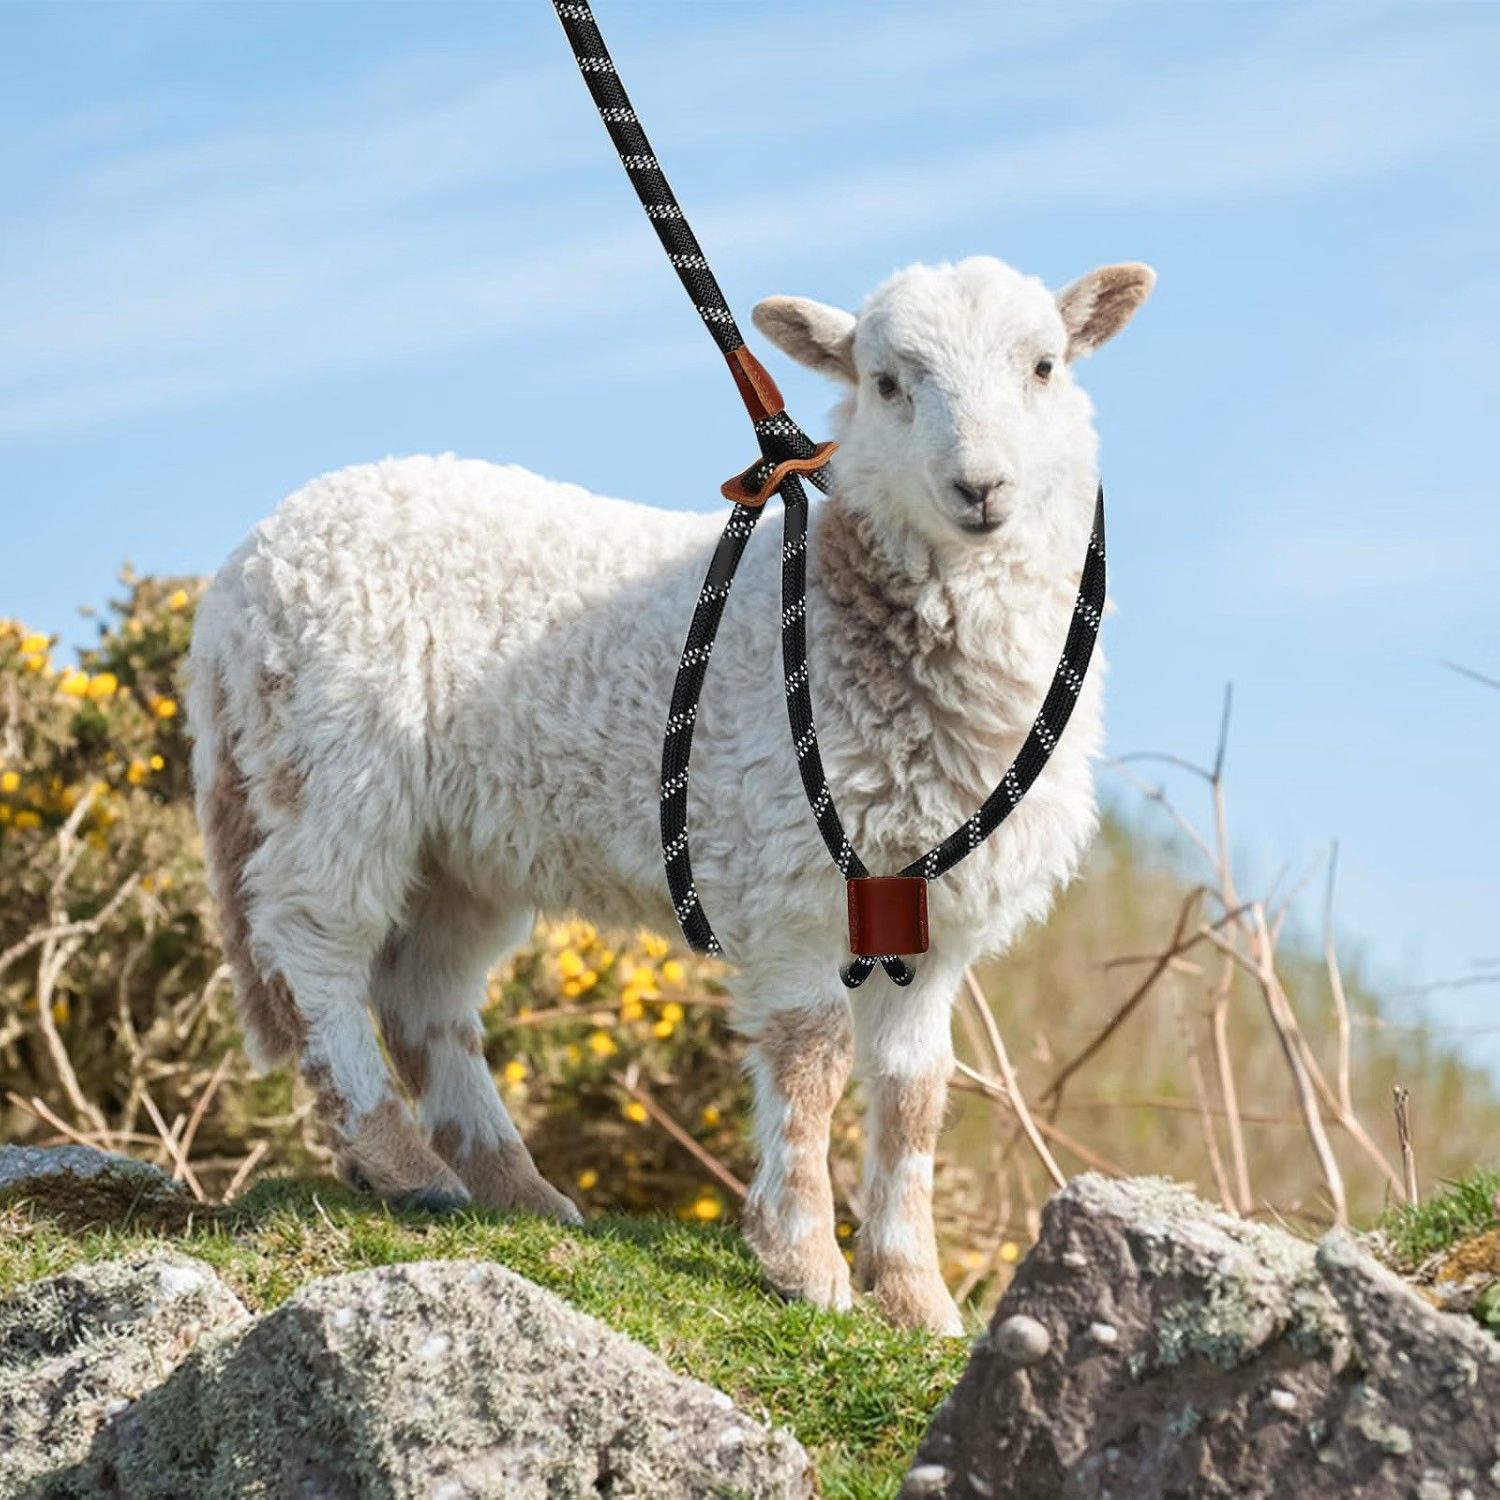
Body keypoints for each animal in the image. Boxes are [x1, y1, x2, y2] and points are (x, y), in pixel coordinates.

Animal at [186, 254, 1153, 1334]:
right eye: (887, 384)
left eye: (1044, 367)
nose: (980, 488)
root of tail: (243, 576)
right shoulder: (787, 871)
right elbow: (812, 1061)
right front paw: (807, 1265)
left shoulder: (928, 910)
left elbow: (914, 1096)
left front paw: (917, 1299)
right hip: (333, 763)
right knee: (311, 943)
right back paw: (395, 1157)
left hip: (457, 838)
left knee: (422, 989)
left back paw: (512, 1188)